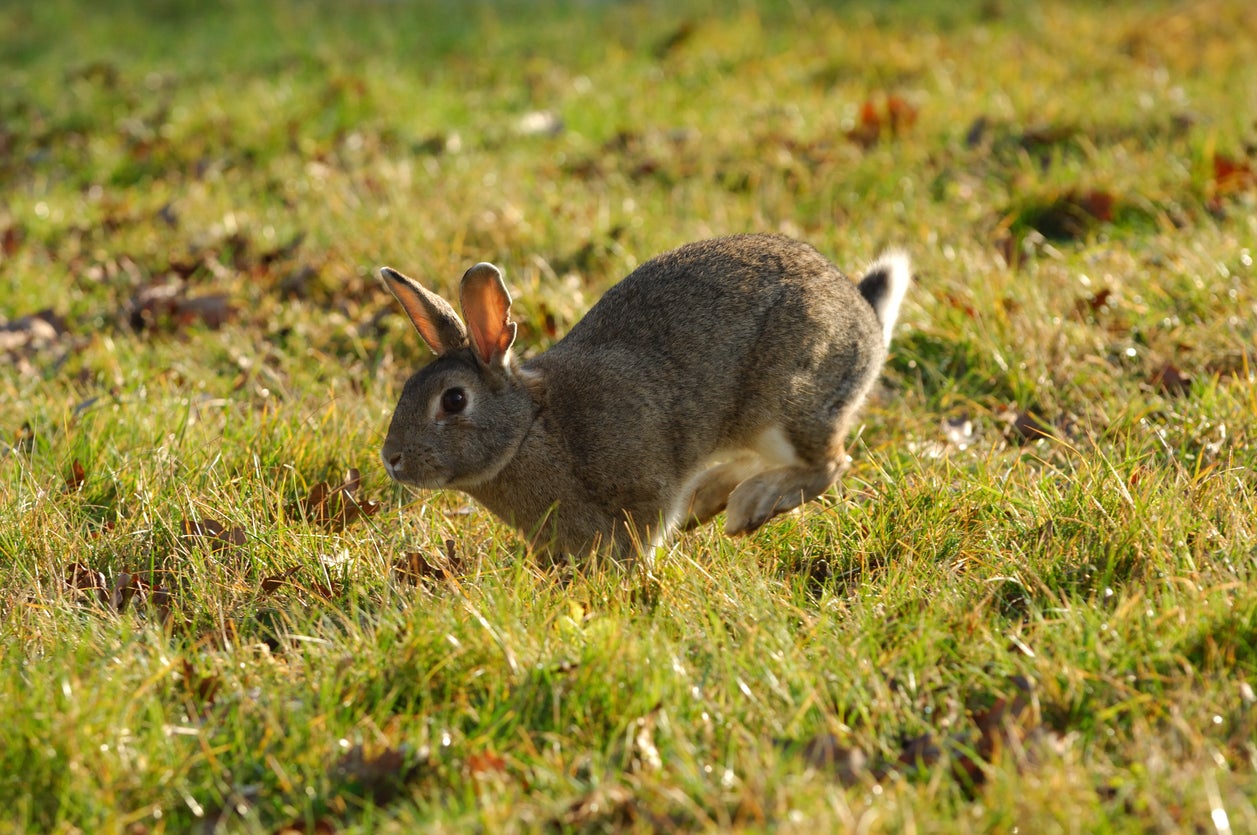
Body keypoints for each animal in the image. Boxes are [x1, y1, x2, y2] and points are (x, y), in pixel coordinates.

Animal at [377, 231, 910, 563]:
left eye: (453, 400)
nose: (392, 459)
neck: (531, 425)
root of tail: (868, 324)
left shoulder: (643, 489)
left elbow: (643, 538)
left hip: (789, 403)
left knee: (829, 462)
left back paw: (748, 506)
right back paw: (709, 501)